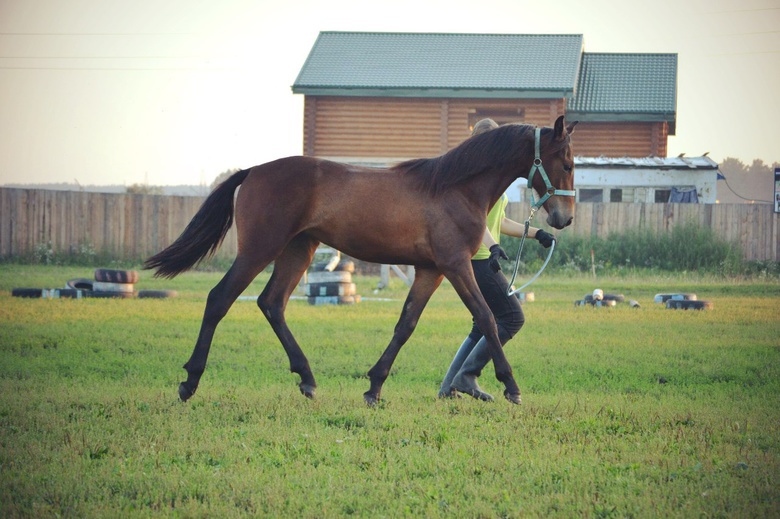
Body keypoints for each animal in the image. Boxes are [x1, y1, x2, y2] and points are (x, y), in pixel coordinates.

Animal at [145, 117, 580, 406]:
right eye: (567, 163)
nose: (564, 219)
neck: (455, 188)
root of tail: (253, 171)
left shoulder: (431, 271)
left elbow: (406, 325)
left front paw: (374, 387)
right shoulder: (456, 265)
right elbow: (487, 318)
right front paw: (511, 386)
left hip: (298, 249)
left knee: (272, 303)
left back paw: (307, 379)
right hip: (260, 249)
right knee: (220, 300)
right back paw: (190, 382)